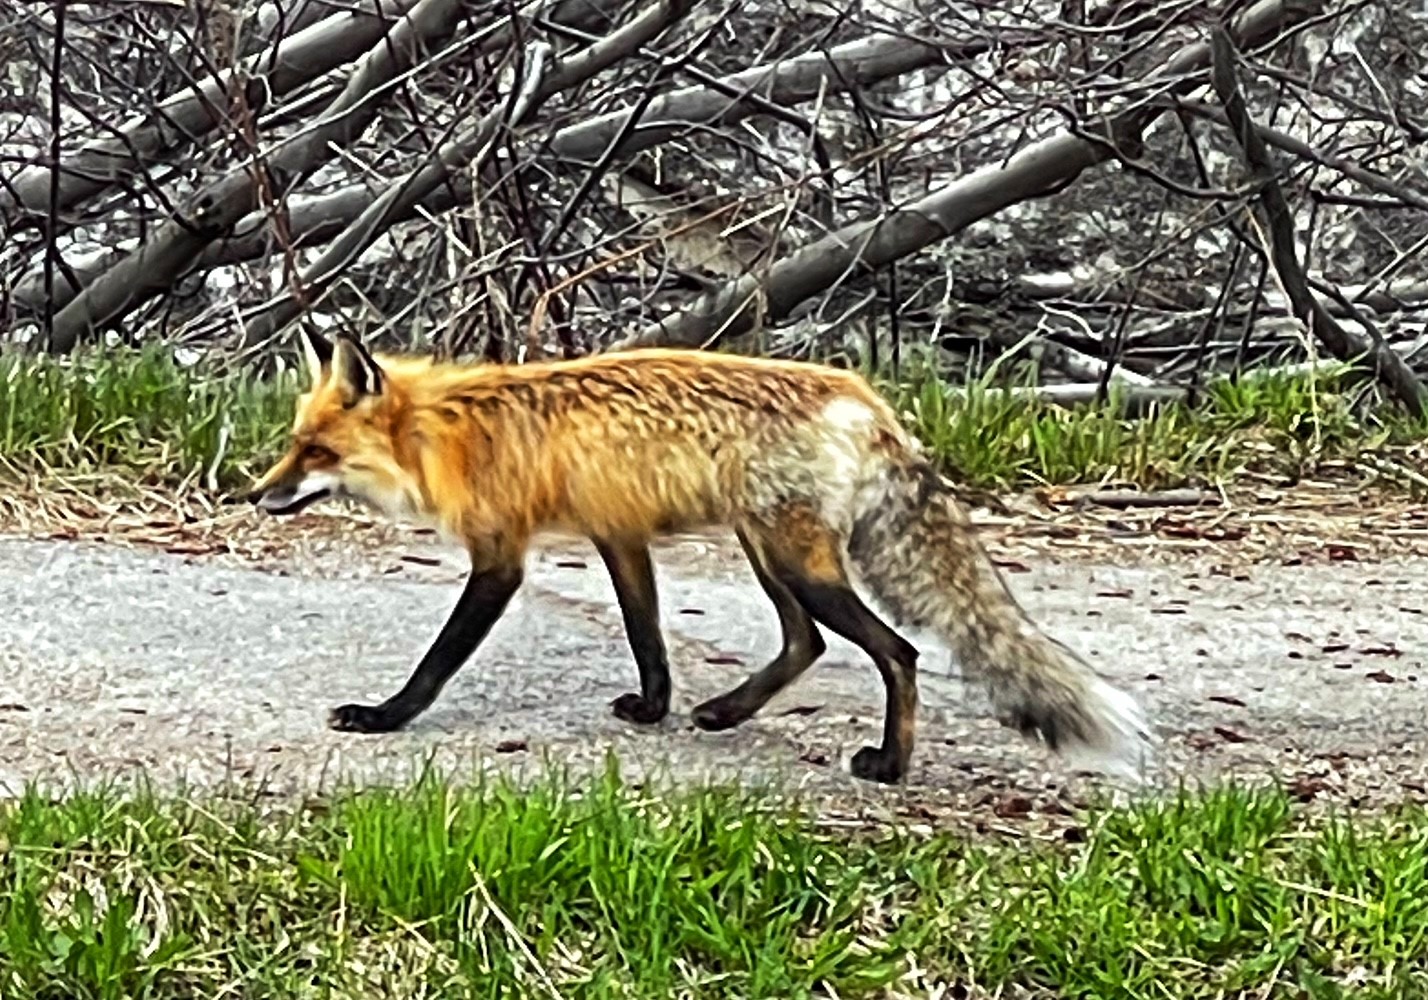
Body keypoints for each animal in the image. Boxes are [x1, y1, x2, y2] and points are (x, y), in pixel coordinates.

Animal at [251, 331, 1153, 782]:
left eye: (317, 453)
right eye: (293, 444)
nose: (258, 495)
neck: (452, 432)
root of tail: (867, 399)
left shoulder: (502, 556)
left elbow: (438, 661)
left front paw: (385, 716)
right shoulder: (618, 535)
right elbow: (647, 637)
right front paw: (654, 709)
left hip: (798, 563)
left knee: (896, 651)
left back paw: (890, 765)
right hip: (770, 555)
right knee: (806, 644)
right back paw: (725, 713)